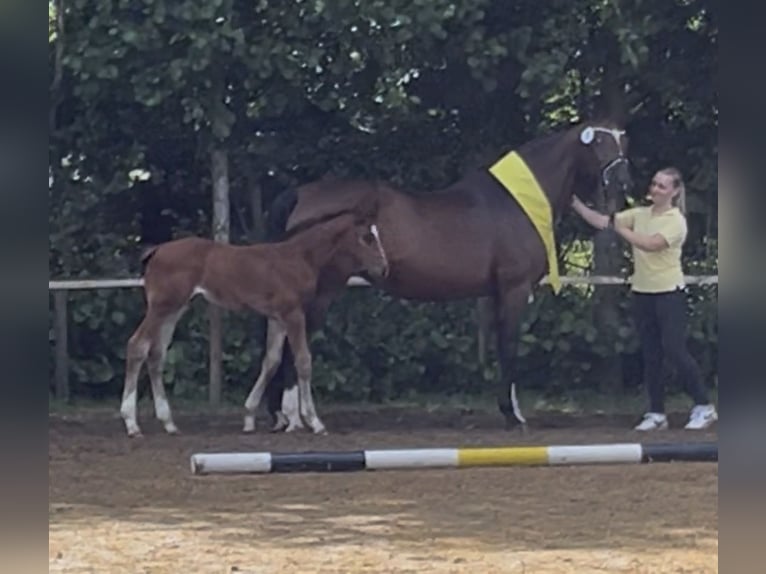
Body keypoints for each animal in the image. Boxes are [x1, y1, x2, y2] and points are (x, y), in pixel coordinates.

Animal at [118, 198, 389, 437]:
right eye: (367, 237)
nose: (384, 268)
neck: (300, 258)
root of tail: (157, 250)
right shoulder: (293, 314)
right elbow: (303, 361)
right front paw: (315, 421)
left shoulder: (277, 318)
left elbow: (272, 361)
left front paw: (249, 417)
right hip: (161, 307)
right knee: (137, 345)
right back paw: (132, 424)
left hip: (175, 309)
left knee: (157, 354)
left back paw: (169, 423)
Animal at [248, 118, 632, 434]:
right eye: (598, 142)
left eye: (621, 141)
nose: (622, 180)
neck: (517, 204)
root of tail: (300, 193)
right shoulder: (514, 288)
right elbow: (509, 347)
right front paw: (513, 416)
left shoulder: (497, 293)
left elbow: (501, 348)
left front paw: (513, 410)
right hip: (321, 294)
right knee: (294, 345)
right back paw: (300, 418)